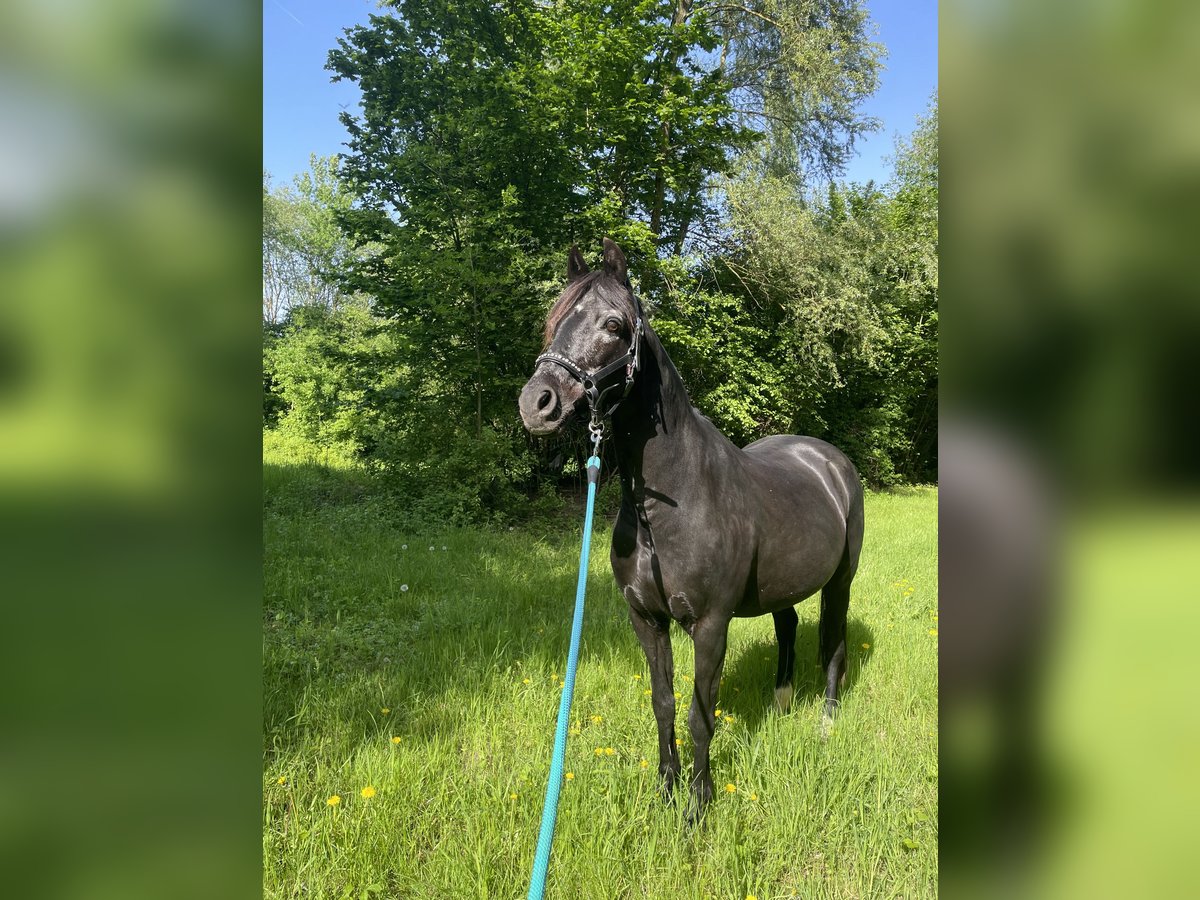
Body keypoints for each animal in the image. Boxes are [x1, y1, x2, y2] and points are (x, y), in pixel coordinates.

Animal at [518, 239, 864, 823]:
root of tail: (830, 460)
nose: (536, 403)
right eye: (553, 322)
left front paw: (698, 805)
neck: (669, 508)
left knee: (834, 646)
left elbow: (702, 713)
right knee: (789, 625)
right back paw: (782, 701)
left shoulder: (710, 625)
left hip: (840, 582)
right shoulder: (646, 620)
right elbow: (665, 704)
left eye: (614, 325)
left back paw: (827, 722)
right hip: (783, 585)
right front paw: (666, 788)